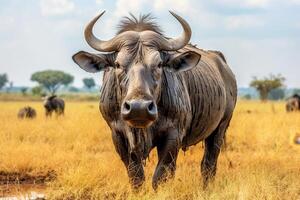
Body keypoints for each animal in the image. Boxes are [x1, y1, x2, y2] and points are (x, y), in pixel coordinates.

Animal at [72, 11, 237, 190]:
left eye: (159, 64)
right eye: (117, 64)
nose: (138, 108)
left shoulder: (173, 135)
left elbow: (160, 177)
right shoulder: (118, 135)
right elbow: (136, 176)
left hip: (220, 128)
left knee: (209, 164)